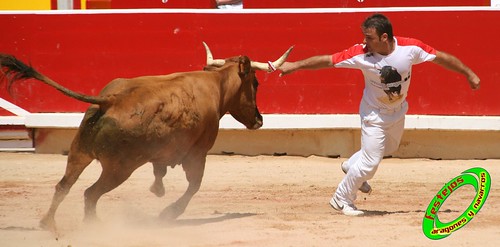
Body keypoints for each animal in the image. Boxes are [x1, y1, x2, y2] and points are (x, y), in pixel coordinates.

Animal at [0, 43, 292, 231]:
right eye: (256, 83)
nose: (259, 120)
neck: (216, 86)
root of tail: (111, 99)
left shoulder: (162, 153)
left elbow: (160, 171)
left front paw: (158, 190)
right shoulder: (198, 153)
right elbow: (193, 185)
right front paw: (168, 213)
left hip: (79, 152)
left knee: (64, 186)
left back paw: (48, 223)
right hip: (120, 168)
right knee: (90, 193)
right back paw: (94, 226)